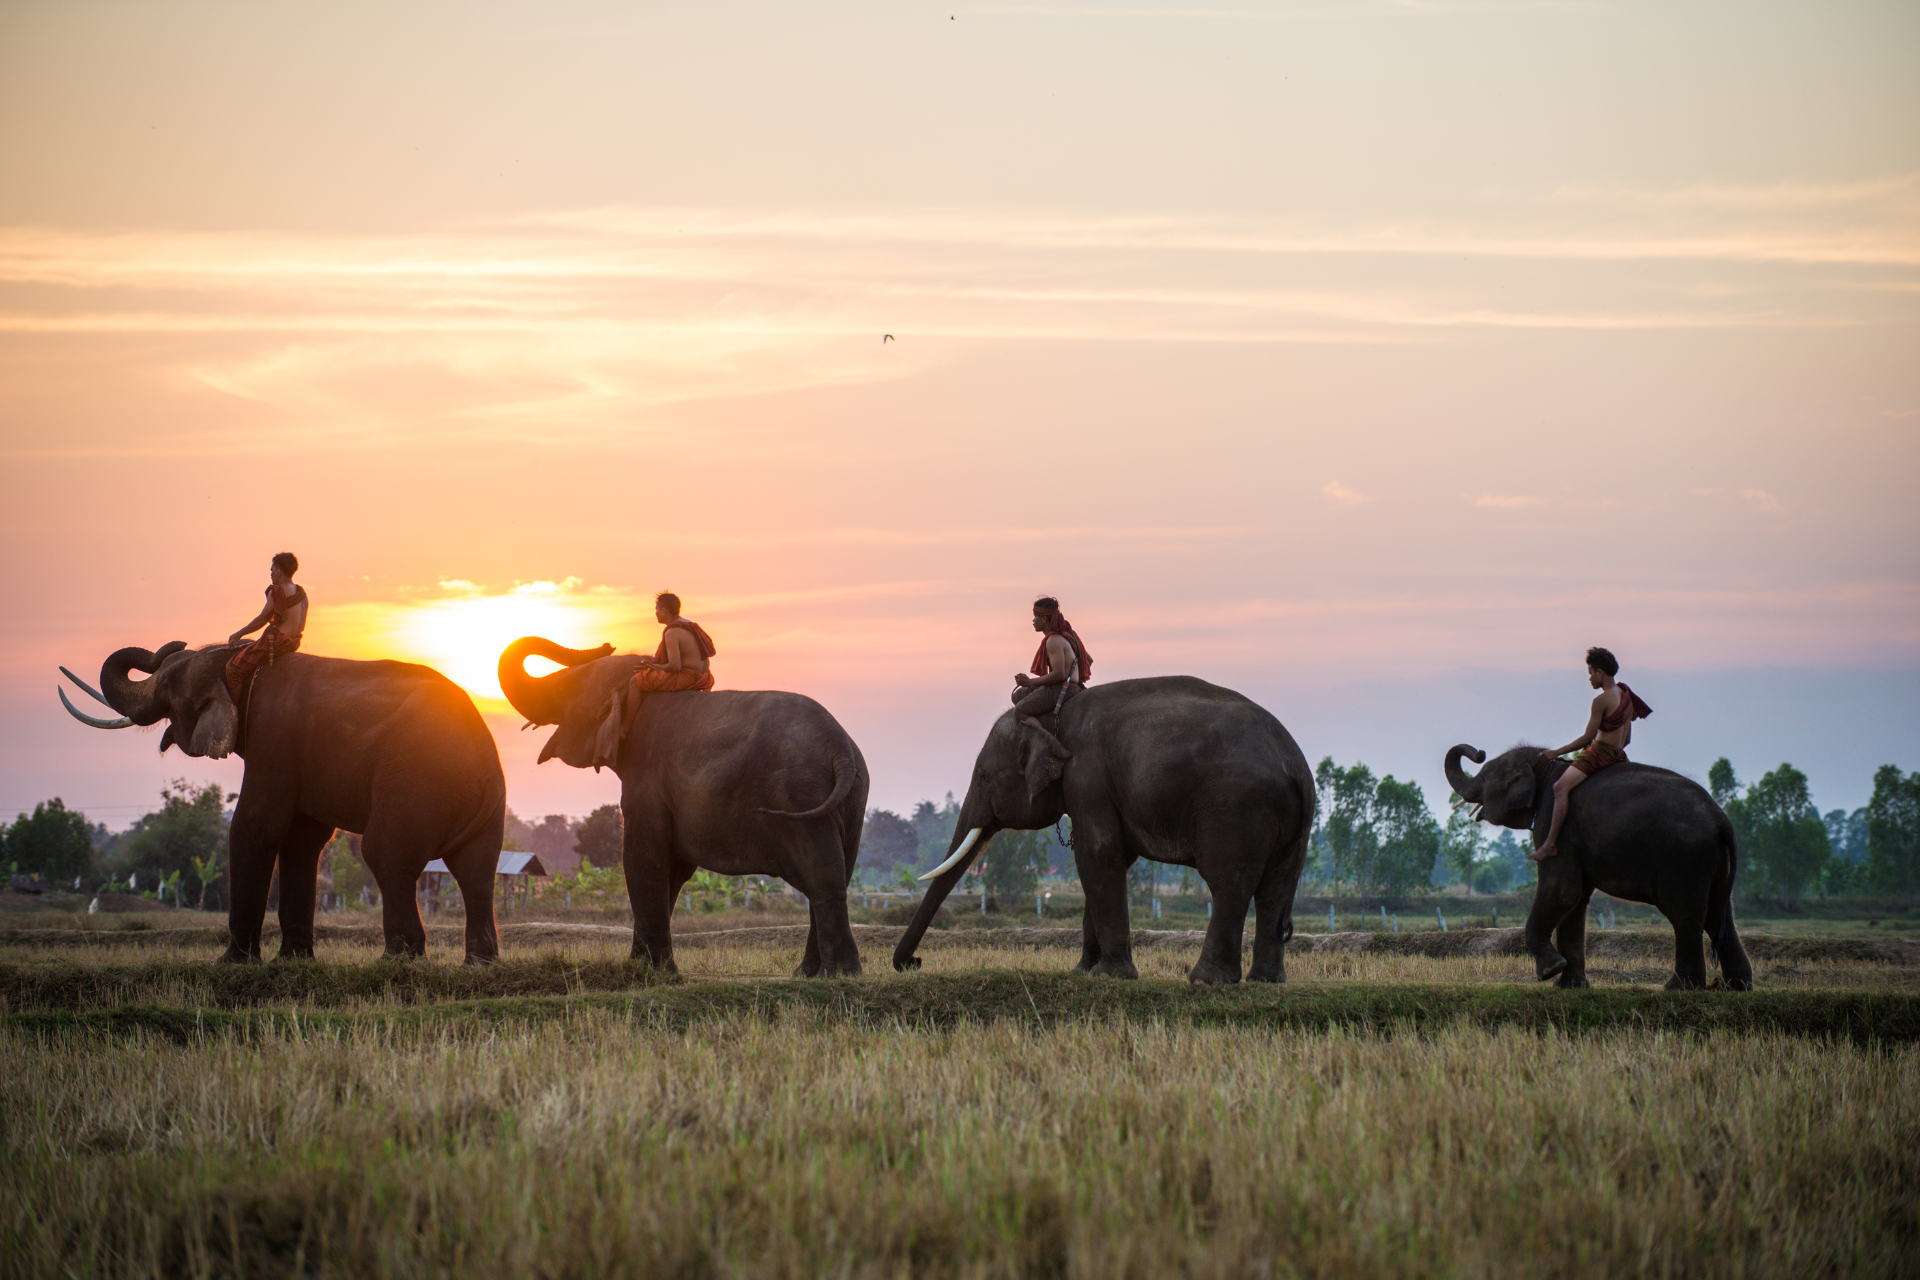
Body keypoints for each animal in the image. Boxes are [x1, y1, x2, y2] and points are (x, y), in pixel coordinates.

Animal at [59, 643, 506, 964]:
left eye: (167, 690)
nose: (172, 644)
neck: (236, 662)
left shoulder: (272, 739)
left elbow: (255, 827)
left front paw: (234, 964)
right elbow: (302, 840)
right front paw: (293, 962)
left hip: (414, 783)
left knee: (386, 855)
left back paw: (398, 961)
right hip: (481, 807)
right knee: (477, 869)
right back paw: (479, 963)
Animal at [498, 637, 870, 976]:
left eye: (566, 690)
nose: (606, 644)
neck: (635, 687)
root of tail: (839, 746)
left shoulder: (646, 781)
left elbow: (643, 861)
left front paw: (660, 974)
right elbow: (673, 872)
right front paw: (639, 967)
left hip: (799, 792)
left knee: (822, 878)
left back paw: (839, 974)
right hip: (852, 799)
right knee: (837, 874)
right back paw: (808, 974)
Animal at [893, 676, 1315, 983]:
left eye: (982, 776)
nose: (914, 962)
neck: (1055, 716)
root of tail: (1297, 765)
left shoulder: (1087, 775)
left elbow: (1098, 853)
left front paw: (1111, 976)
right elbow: (1108, 860)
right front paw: (1083, 972)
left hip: (1236, 808)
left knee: (1229, 881)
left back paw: (1206, 981)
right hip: (1289, 825)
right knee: (1277, 885)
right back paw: (1266, 981)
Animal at [1445, 744, 1753, 990]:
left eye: (1483, 776)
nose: (1479, 752)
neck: (1546, 767)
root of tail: (1721, 819)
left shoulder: (1555, 824)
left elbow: (1561, 891)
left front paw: (1550, 971)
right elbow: (1576, 899)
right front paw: (1569, 986)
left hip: (1683, 857)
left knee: (1684, 912)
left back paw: (1679, 987)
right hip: (1713, 861)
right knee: (1718, 914)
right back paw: (1736, 987)